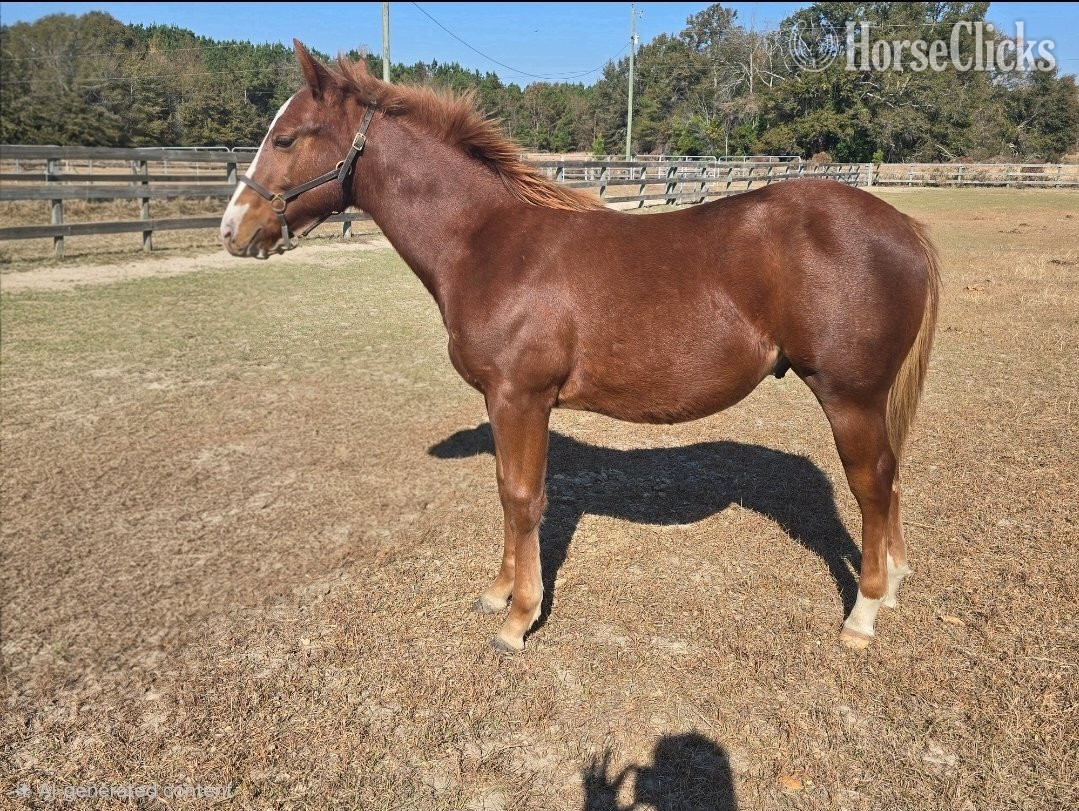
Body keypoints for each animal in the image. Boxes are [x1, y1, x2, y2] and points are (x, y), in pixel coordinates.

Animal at [220, 42, 941, 654]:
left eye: (286, 137)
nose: (233, 229)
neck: (487, 243)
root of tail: (903, 224)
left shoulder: (521, 397)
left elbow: (521, 496)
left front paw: (517, 619)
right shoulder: (503, 400)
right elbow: (506, 490)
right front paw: (497, 592)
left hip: (848, 395)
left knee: (872, 483)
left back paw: (862, 615)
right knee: (891, 476)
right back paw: (893, 586)